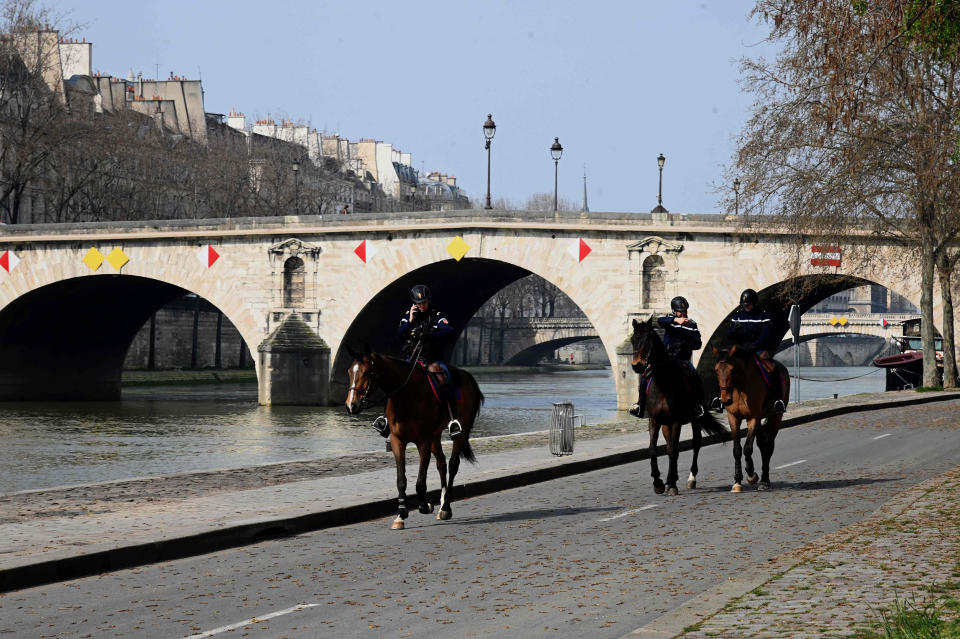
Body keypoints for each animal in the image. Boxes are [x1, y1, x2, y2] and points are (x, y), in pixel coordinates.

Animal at [344, 348, 484, 532]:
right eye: (349, 372)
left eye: (367, 372)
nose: (351, 405)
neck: (406, 397)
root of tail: (465, 374)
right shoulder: (397, 440)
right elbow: (401, 479)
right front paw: (401, 513)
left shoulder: (423, 441)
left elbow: (420, 480)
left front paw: (424, 505)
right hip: (435, 435)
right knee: (441, 463)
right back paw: (442, 503)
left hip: (460, 431)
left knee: (453, 464)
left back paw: (446, 507)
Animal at [632, 318, 728, 496]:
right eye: (632, 340)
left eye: (648, 339)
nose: (637, 366)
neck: (663, 384)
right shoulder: (655, 420)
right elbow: (654, 449)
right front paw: (658, 483)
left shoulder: (675, 420)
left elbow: (674, 451)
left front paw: (671, 484)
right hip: (665, 424)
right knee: (670, 445)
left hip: (695, 420)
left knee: (695, 444)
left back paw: (690, 479)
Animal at [708, 348, 792, 492]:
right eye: (716, 370)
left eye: (732, 370)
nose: (725, 399)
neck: (740, 387)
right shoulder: (733, 418)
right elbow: (737, 449)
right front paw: (737, 481)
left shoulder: (753, 418)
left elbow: (747, 448)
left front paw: (752, 475)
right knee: (762, 444)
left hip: (776, 417)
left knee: (768, 446)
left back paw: (765, 481)